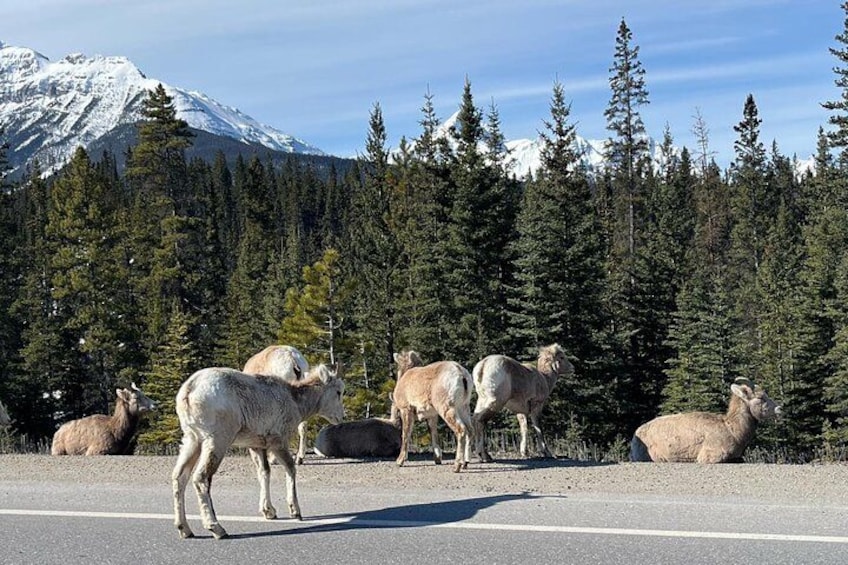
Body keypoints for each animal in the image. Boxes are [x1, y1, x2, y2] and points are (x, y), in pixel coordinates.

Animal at [172, 363, 345, 539]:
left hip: (192, 440)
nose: (341, 417)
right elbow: (291, 469)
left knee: (179, 476)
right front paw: (295, 512)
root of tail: (189, 391)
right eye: (339, 392)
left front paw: (269, 512)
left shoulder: (257, 445)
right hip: (216, 440)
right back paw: (217, 528)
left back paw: (184, 529)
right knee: (201, 478)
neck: (294, 400)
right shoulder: (278, 442)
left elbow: (264, 472)